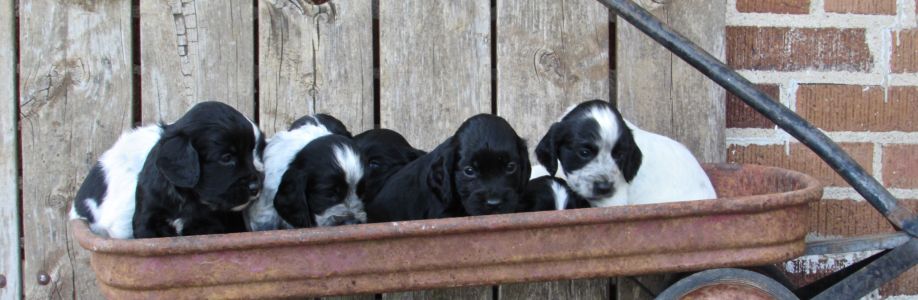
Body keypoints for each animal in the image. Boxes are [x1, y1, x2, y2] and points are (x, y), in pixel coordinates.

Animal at [71, 101, 266, 239]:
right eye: (226, 158)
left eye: (254, 151)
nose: (256, 186)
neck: (185, 197)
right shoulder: (145, 221)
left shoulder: (208, 225)